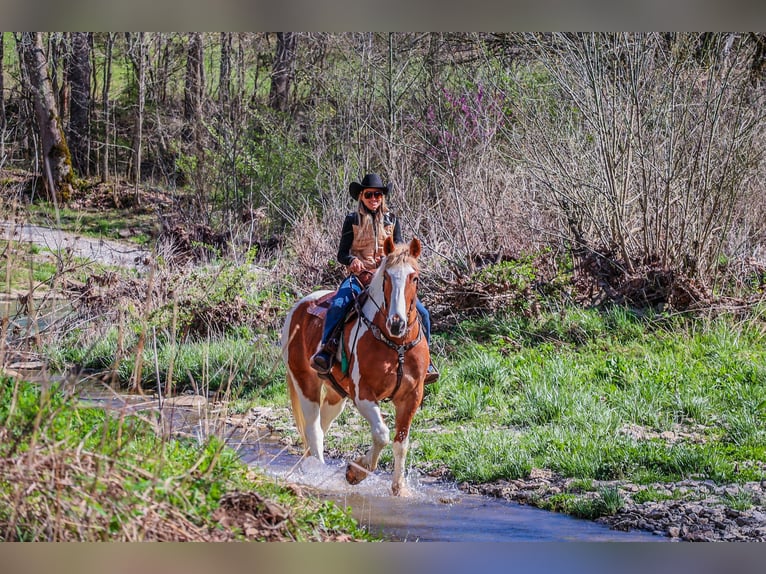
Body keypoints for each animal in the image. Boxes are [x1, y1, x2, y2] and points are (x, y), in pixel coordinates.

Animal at [280, 236, 428, 498]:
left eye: (414, 277)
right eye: (386, 276)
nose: (397, 324)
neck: (397, 345)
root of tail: (298, 308)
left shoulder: (412, 396)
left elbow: (401, 443)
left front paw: (399, 489)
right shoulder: (364, 395)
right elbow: (382, 434)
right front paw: (356, 472)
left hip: (336, 394)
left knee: (322, 426)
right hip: (305, 382)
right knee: (313, 429)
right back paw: (317, 472)